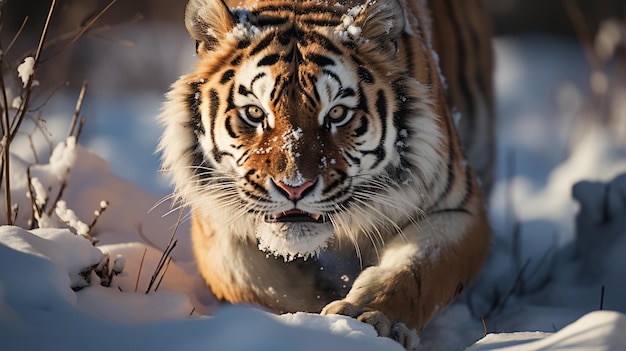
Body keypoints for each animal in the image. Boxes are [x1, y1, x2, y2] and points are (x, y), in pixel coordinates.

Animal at [157, 0, 492, 350]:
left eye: (337, 113)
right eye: (254, 113)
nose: (293, 187)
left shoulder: (456, 207)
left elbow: (415, 269)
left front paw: (369, 320)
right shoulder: (218, 218)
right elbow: (253, 282)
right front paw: (310, 322)